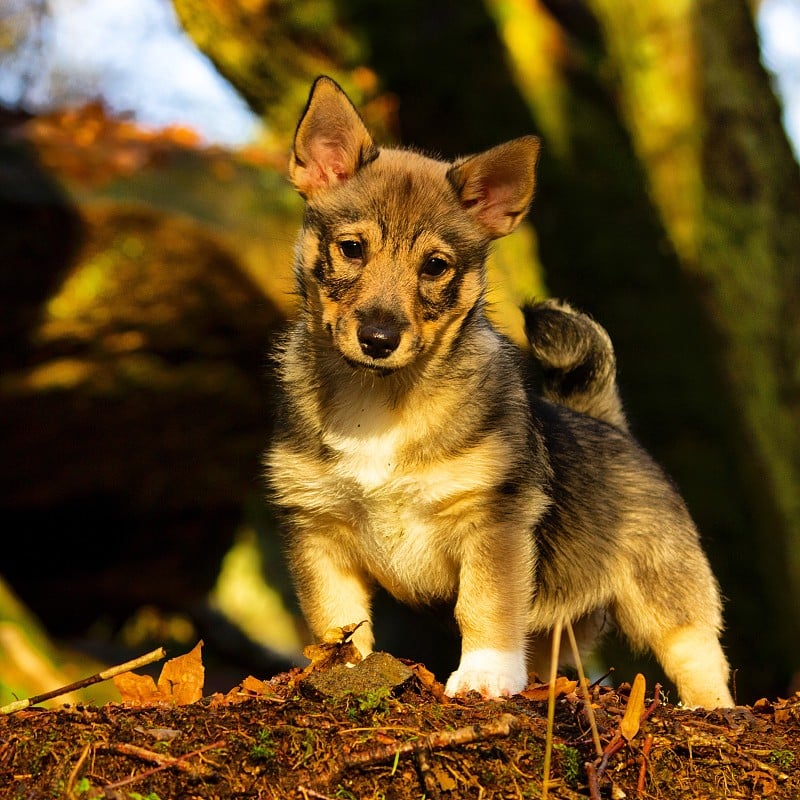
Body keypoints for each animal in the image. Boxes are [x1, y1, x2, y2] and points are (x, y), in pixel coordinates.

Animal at [266, 78, 736, 708]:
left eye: (435, 266)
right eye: (351, 249)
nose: (379, 340)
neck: (381, 403)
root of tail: (605, 419)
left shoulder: (493, 521)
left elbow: (484, 607)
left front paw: (484, 677)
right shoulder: (318, 531)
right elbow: (339, 623)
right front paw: (347, 675)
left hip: (668, 600)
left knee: (702, 663)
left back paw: (711, 709)